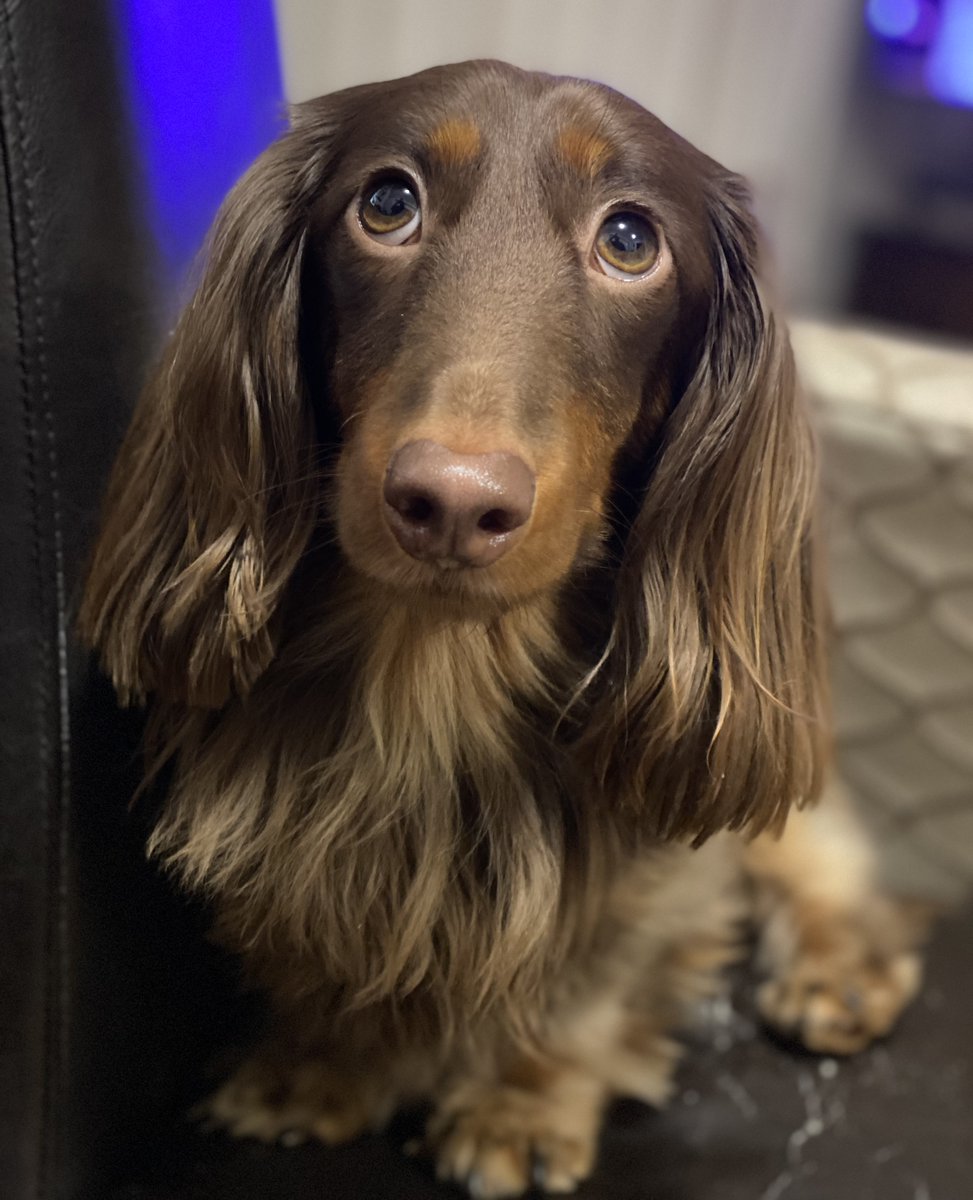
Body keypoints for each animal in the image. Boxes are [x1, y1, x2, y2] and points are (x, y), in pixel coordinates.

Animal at [79, 58, 926, 1200]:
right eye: (387, 203)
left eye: (630, 239)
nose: (450, 503)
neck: (437, 671)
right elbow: (319, 943)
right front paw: (318, 1068)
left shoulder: (648, 871)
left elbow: (588, 985)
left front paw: (522, 1106)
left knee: (815, 848)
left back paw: (842, 970)